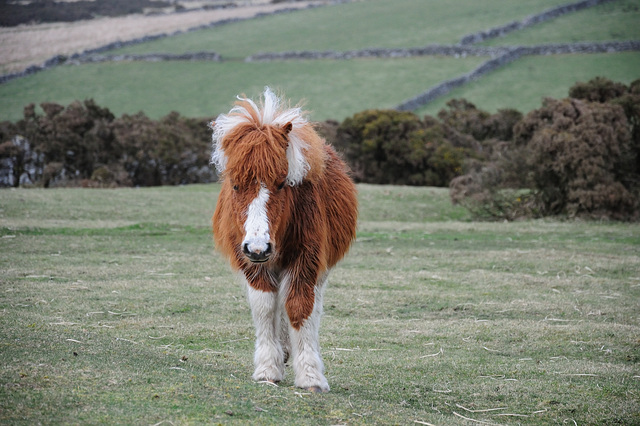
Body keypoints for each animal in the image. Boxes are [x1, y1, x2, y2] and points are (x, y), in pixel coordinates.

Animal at [211, 86, 358, 392]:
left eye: (281, 183)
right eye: (235, 184)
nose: (258, 247)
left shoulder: (307, 258)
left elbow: (300, 306)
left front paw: (311, 375)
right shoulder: (252, 263)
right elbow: (266, 307)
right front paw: (268, 368)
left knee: (311, 304)